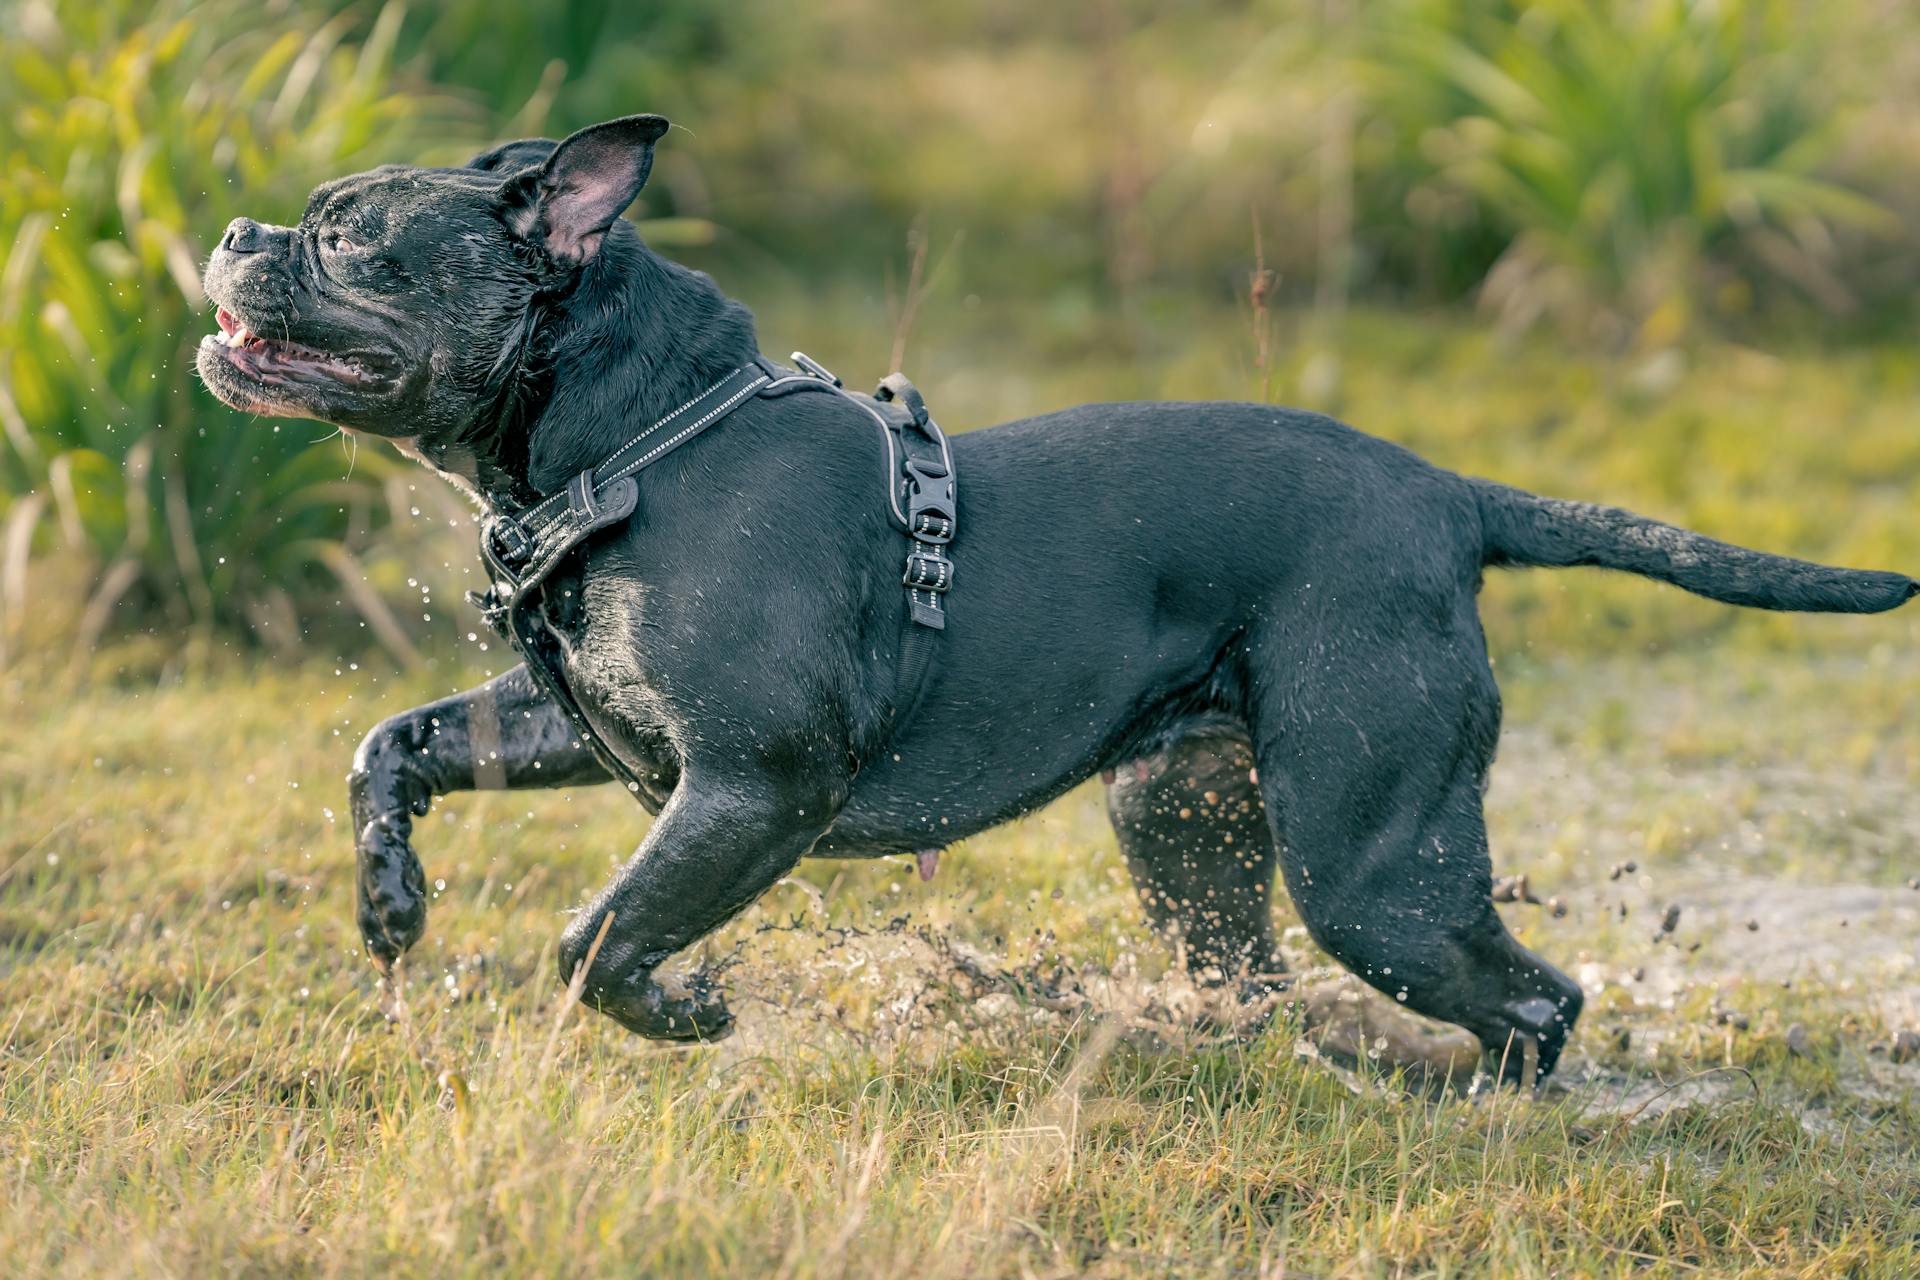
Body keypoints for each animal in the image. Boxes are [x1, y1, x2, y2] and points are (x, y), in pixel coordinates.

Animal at [194, 117, 1904, 1082]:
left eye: (348, 235)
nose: (234, 229)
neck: (634, 443)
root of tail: (1451, 497)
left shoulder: (748, 790)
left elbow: (593, 938)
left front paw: (689, 1018)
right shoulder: (582, 726)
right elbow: (392, 746)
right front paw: (389, 904)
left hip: (1376, 865)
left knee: (1539, 996)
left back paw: (1497, 1107)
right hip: (1190, 833)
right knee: (1255, 982)